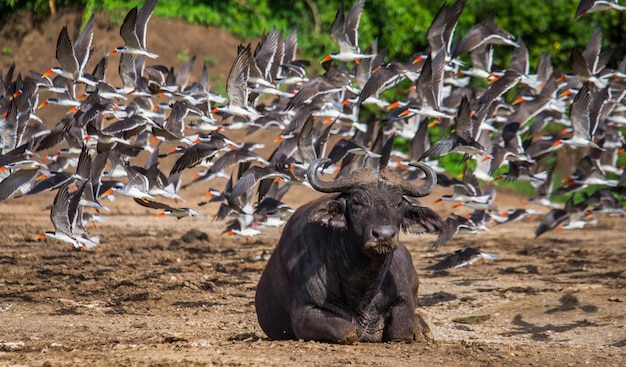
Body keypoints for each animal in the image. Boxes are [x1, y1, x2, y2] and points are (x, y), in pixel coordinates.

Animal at [255, 158, 444, 344]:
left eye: (398, 203)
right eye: (357, 202)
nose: (384, 235)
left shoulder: (403, 299)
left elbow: (401, 329)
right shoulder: (305, 311)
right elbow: (347, 331)